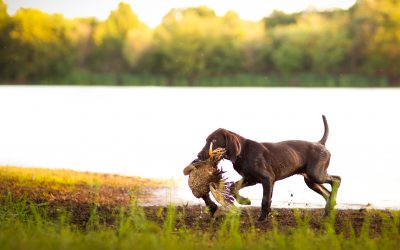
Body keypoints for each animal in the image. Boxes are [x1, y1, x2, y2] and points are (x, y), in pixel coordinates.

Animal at [194, 116, 340, 222]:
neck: (243, 152)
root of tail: (320, 144)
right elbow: (233, 187)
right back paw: (328, 211)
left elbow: (265, 200)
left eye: (213, 140)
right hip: (310, 180)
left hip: (315, 174)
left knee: (337, 180)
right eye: (206, 140)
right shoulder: (250, 178)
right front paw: (245, 201)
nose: (198, 155)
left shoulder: (267, 179)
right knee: (327, 192)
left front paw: (262, 218)